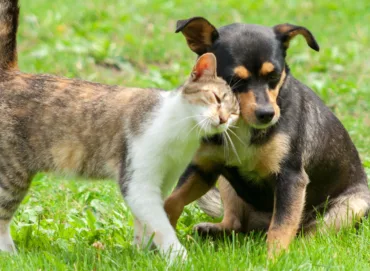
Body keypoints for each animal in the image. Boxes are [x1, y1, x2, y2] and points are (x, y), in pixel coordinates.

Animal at [0, 0, 240, 264]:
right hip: (10, 174)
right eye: (216, 98)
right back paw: (10, 255)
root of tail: (10, 74)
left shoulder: (163, 180)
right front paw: (179, 257)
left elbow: (145, 224)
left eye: (235, 113)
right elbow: (162, 225)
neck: (182, 135)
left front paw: (142, 253)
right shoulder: (138, 183)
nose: (223, 118)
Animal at [165, 17, 370, 260]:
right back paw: (212, 230)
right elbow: (171, 201)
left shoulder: (291, 178)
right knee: (235, 223)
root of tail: (258, 225)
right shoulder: (203, 169)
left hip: (351, 207)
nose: (267, 114)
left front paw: (273, 261)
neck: (242, 125)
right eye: (234, 80)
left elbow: (281, 227)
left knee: (309, 234)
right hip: (226, 184)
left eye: (274, 76)